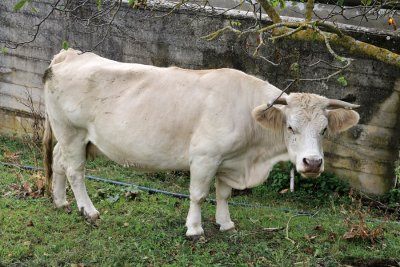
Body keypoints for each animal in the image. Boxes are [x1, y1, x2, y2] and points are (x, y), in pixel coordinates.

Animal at [43, 49, 360, 238]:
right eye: (291, 127)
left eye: (324, 129)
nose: (313, 163)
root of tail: (67, 55)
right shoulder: (205, 157)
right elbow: (198, 195)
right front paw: (194, 229)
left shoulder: (228, 161)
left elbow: (223, 195)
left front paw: (226, 223)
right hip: (72, 132)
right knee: (75, 172)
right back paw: (89, 211)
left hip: (72, 138)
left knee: (58, 162)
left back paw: (60, 202)